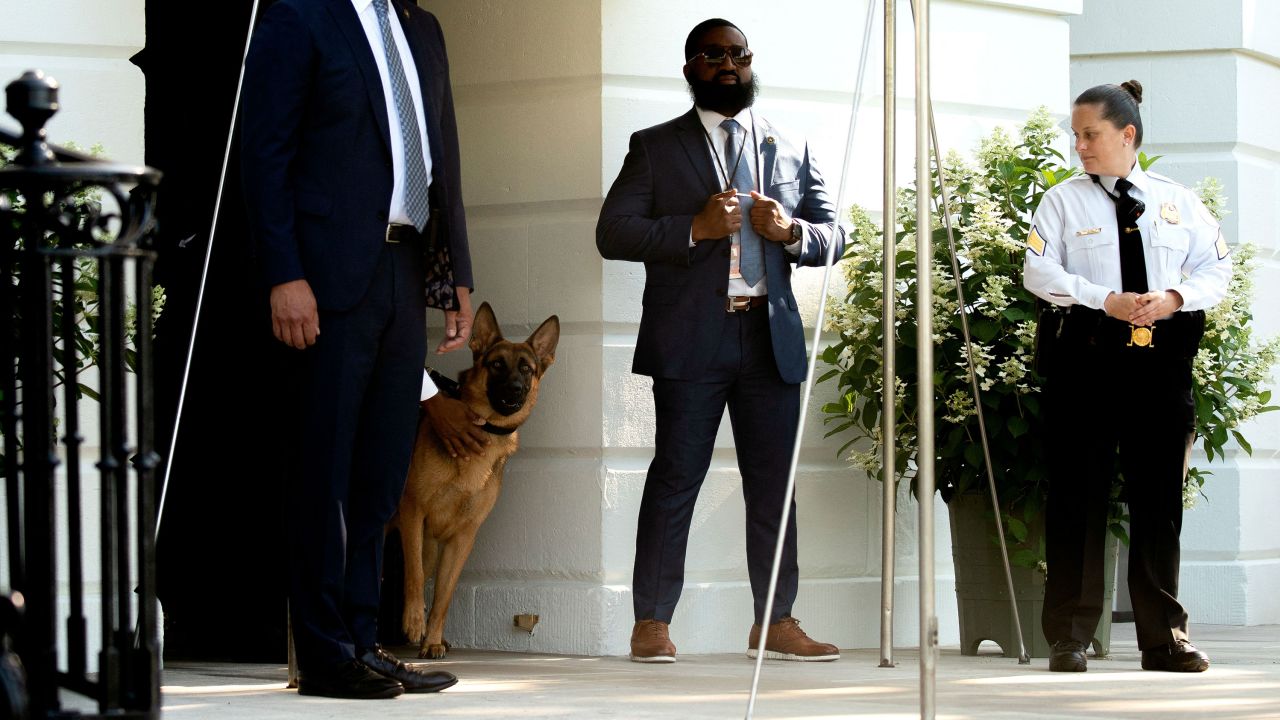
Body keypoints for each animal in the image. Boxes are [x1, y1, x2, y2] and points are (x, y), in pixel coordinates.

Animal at [384, 301, 555, 655]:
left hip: (430, 548)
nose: (516, 389)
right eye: (497, 365)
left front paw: (433, 640)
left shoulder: (463, 537)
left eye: (527, 369)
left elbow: (444, 596)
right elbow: (414, 577)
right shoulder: (413, 514)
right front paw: (414, 624)